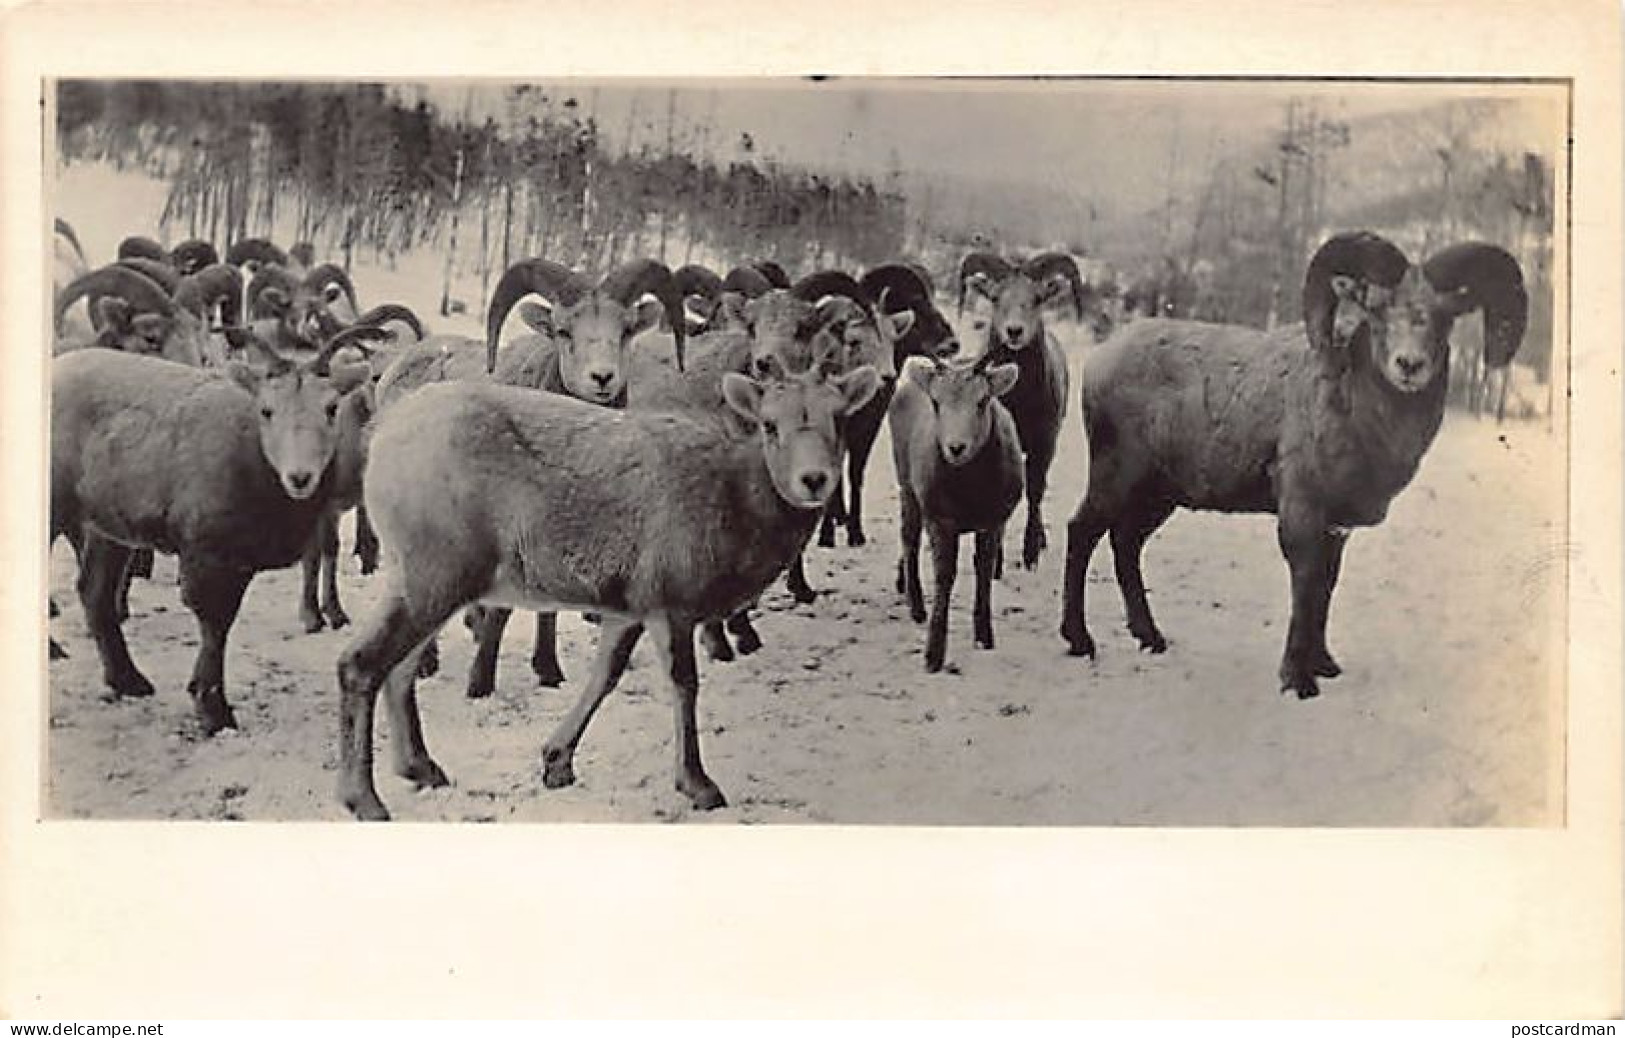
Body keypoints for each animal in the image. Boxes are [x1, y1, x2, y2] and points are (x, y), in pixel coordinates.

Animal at [49, 331, 372, 730]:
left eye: (331, 408)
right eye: (267, 410)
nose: (300, 477)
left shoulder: (240, 557)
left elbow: (224, 622)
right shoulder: (206, 551)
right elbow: (213, 622)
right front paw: (212, 709)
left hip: (109, 524)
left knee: (94, 592)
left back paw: (128, 680)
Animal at [334, 357, 884, 818]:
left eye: (839, 420)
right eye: (770, 425)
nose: (814, 479)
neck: (733, 501)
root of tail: (380, 441)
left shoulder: (627, 608)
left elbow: (605, 675)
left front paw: (557, 761)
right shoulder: (671, 603)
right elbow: (684, 683)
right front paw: (698, 784)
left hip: (424, 580)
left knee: (400, 667)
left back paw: (420, 767)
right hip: (435, 573)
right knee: (361, 665)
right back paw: (364, 799)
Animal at [890, 354, 1027, 669]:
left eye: (982, 401)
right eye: (936, 402)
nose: (956, 448)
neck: (971, 493)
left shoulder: (994, 520)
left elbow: (984, 570)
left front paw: (984, 638)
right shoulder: (940, 520)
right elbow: (945, 576)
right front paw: (933, 655)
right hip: (907, 485)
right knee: (909, 539)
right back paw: (916, 606)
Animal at [955, 250, 1085, 568]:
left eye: (1037, 298)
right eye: (995, 297)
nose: (1014, 331)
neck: (1020, 400)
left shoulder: (1044, 443)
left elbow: (1035, 490)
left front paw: (1031, 554)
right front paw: (997, 560)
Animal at [1059, 227, 1527, 698]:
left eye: (1445, 316)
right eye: (1376, 311)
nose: (1409, 365)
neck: (1351, 405)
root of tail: (1102, 358)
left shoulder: (1336, 529)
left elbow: (1325, 589)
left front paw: (1324, 665)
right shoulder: (1302, 512)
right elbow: (1306, 586)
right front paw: (1297, 680)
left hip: (1158, 496)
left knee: (1125, 543)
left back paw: (1150, 638)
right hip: (1116, 477)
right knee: (1083, 532)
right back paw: (1080, 641)